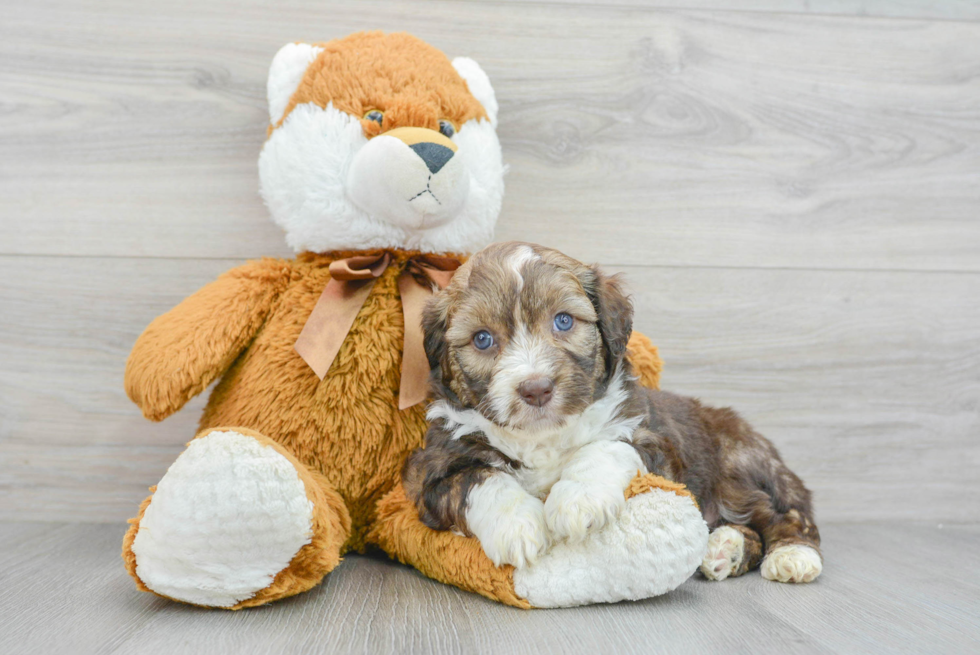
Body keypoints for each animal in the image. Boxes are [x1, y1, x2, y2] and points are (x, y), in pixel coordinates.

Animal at [402, 241, 824, 584]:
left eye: (563, 320)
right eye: (482, 339)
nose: (536, 388)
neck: (543, 436)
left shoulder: (649, 439)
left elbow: (602, 448)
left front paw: (577, 501)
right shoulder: (432, 470)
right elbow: (480, 479)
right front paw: (516, 526)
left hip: (735, 469)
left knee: (780, 512)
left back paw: (793, 556)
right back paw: (723, 549)